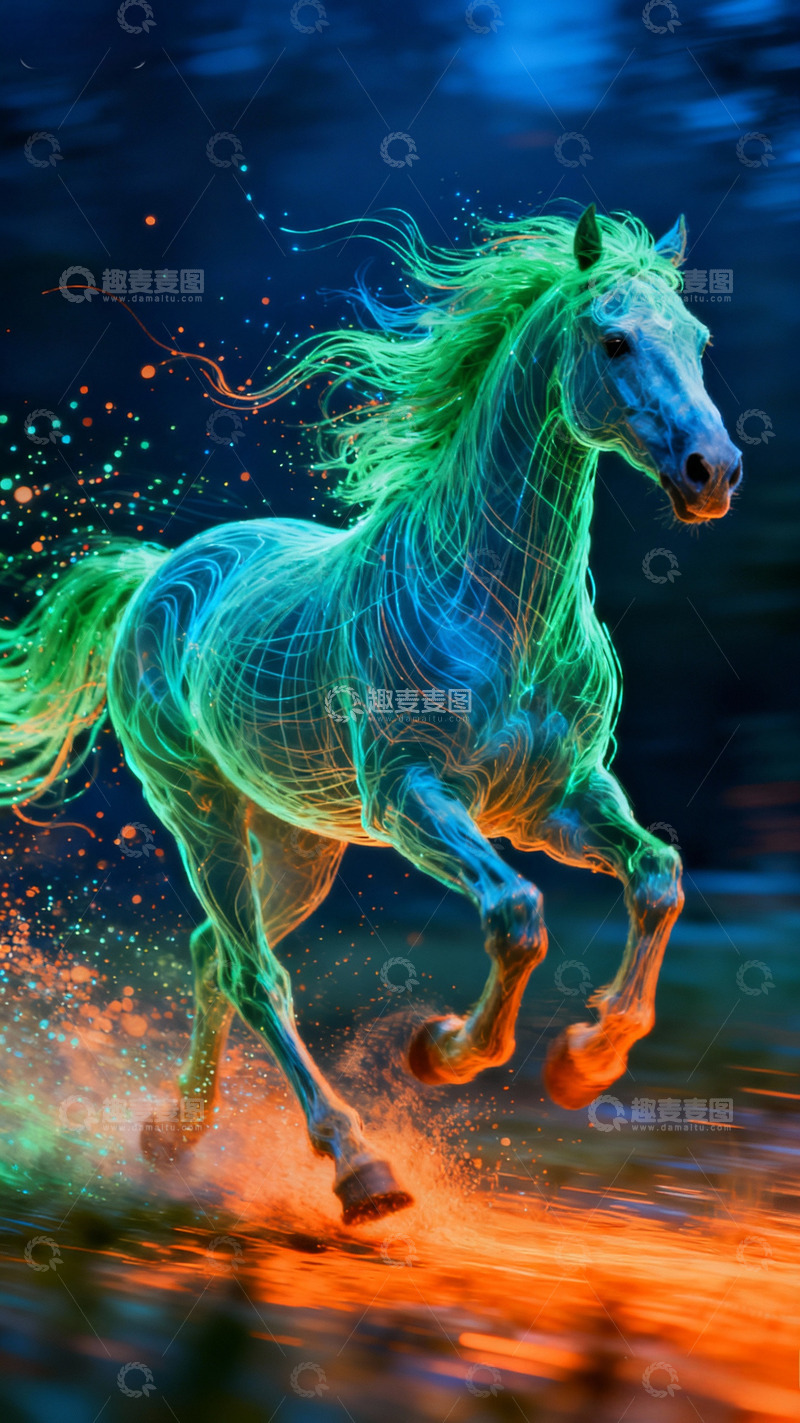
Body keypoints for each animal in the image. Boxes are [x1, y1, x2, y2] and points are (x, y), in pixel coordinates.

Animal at [1, 205, 742, 1225]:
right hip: (201, 813)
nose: (714, 472)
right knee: (254, 971)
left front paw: (583, 1063)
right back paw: (361, 1168)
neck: (495, 604)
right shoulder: (411, 795)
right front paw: (441, 1050)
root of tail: (157, 571)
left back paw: (174, 1136)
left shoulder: (557, 799)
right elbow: (517, 911)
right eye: (615, 339)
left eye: (700, 338)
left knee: (213, 953)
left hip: (302, 840)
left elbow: (658, 877)